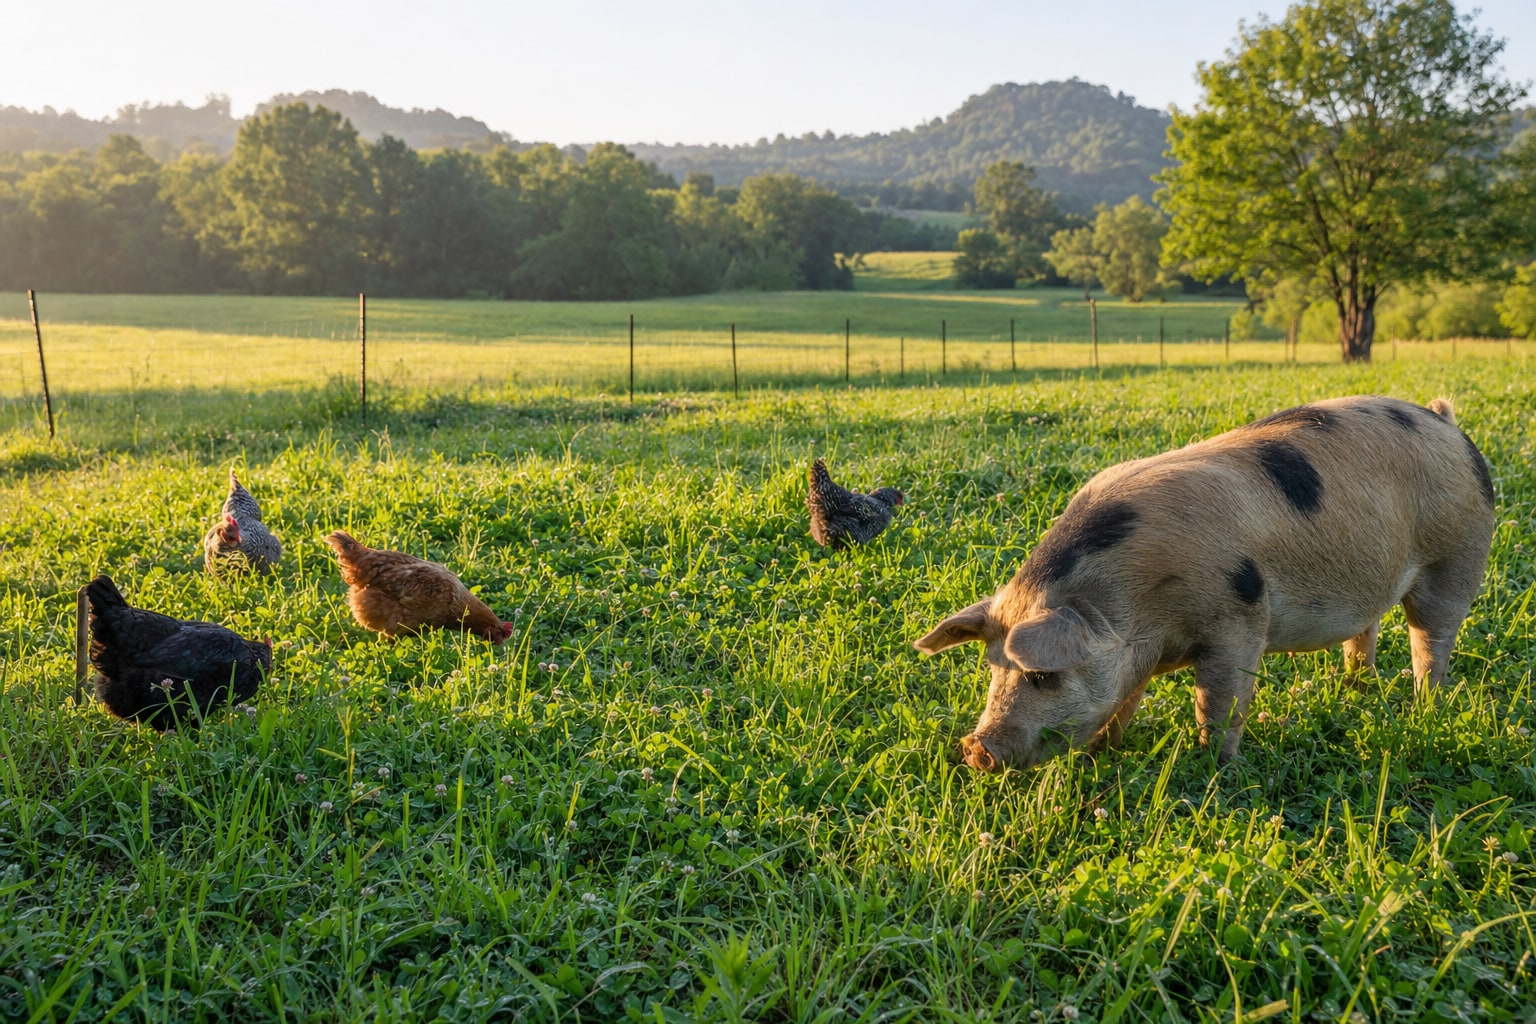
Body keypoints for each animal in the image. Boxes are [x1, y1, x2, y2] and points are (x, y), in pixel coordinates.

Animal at [914, 396, 1495, 769]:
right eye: (993, 668)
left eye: (1042, 676)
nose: (976, 749)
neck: (1138, 608)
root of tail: (1445, 423)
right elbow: (1124, 701)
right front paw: (1104, 753)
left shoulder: (1239, 619)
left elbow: (1217, 702)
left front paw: (1213, 768)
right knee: (1367, 632)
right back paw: (1354, 690)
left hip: (1458, 555)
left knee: (1433, 639)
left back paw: (1425, 709)